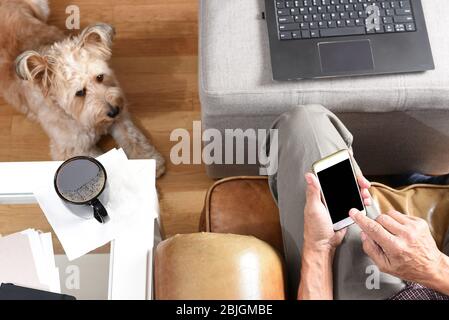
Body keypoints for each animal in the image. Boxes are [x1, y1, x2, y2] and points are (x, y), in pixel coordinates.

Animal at [0, 0, 164, 176]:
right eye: (79, 93)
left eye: (100, 77)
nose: (114, 111)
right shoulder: (72, 148)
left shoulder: (120, 116)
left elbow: (133, 137)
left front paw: (148, 161)